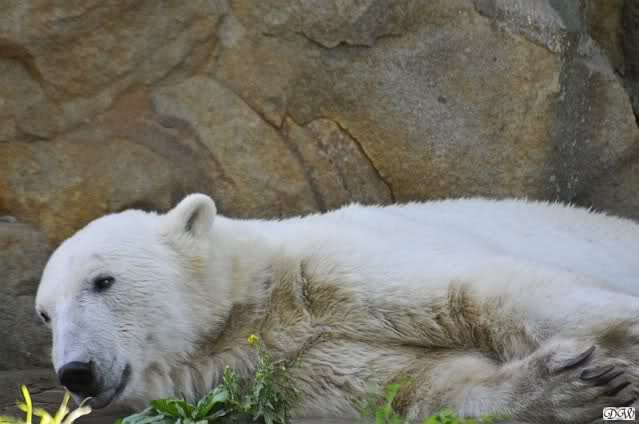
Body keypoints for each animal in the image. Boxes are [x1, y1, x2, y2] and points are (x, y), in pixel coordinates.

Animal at [35, 193, 639, 423]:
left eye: (102, 280)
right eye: (46, 314)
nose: (77, 372)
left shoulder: (334, 269)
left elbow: (478, 292)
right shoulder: (293, 373)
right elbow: (424, 385)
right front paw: (575, 384)